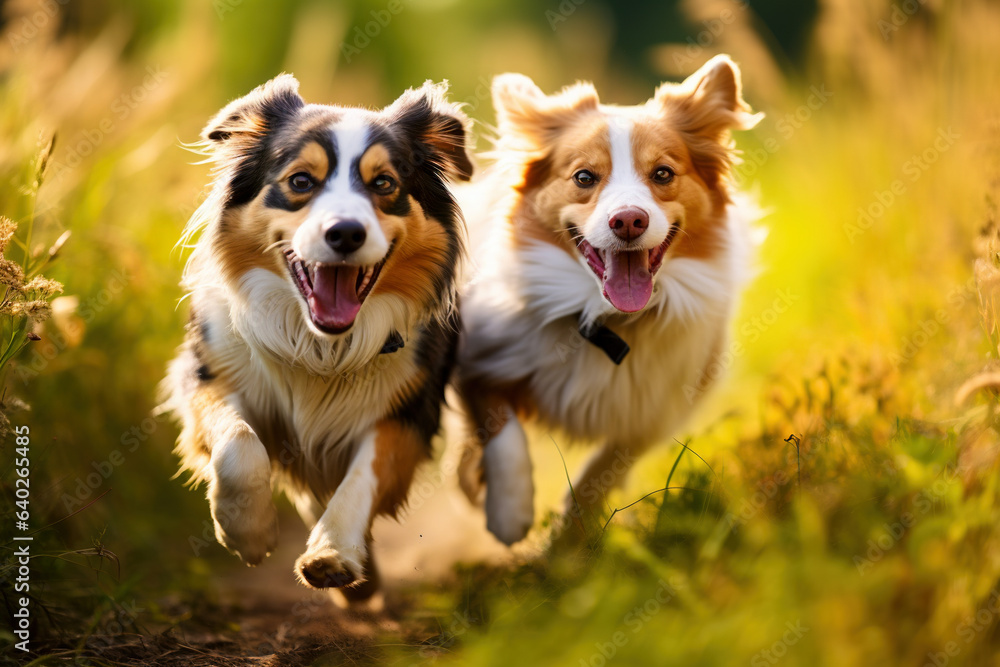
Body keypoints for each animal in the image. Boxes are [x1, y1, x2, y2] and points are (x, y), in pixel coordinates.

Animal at [163, 74, 472, 600]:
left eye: (384, 183)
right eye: (301, 181)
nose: (345, 232)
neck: (321, 346)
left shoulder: (409, 410)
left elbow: (362, 475)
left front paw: (334, 553)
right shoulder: (207, 372)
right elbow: (239, 443)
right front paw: (248, 530)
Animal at [458, 57, 760, 544]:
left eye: (663, 174)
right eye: (584, 177)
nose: (629, 220)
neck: (608, 322)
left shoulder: (661, 406)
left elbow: (604, 469)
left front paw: (572, 538)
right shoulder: (478, 361)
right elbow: (504, 434)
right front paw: (509, 513)